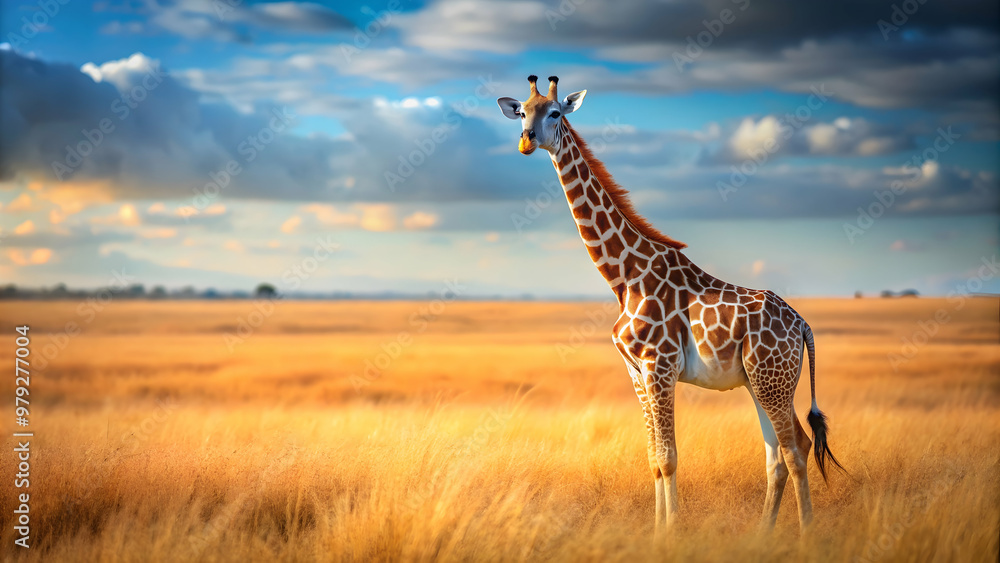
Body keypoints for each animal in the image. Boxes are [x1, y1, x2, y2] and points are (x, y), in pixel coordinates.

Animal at [497, 75, 844, 534]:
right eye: (521, 112)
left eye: (554, 113)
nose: (526, 141)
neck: (624, 278)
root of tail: (802, 324)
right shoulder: (635, 371)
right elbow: (653, 459)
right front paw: (658, 532)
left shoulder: (658, 366)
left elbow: (668, 458)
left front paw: (671, 534)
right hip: (760, 383)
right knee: (779, 455)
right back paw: (763, 536)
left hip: (773, 380)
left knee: (794, 449)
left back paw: (805, 535)